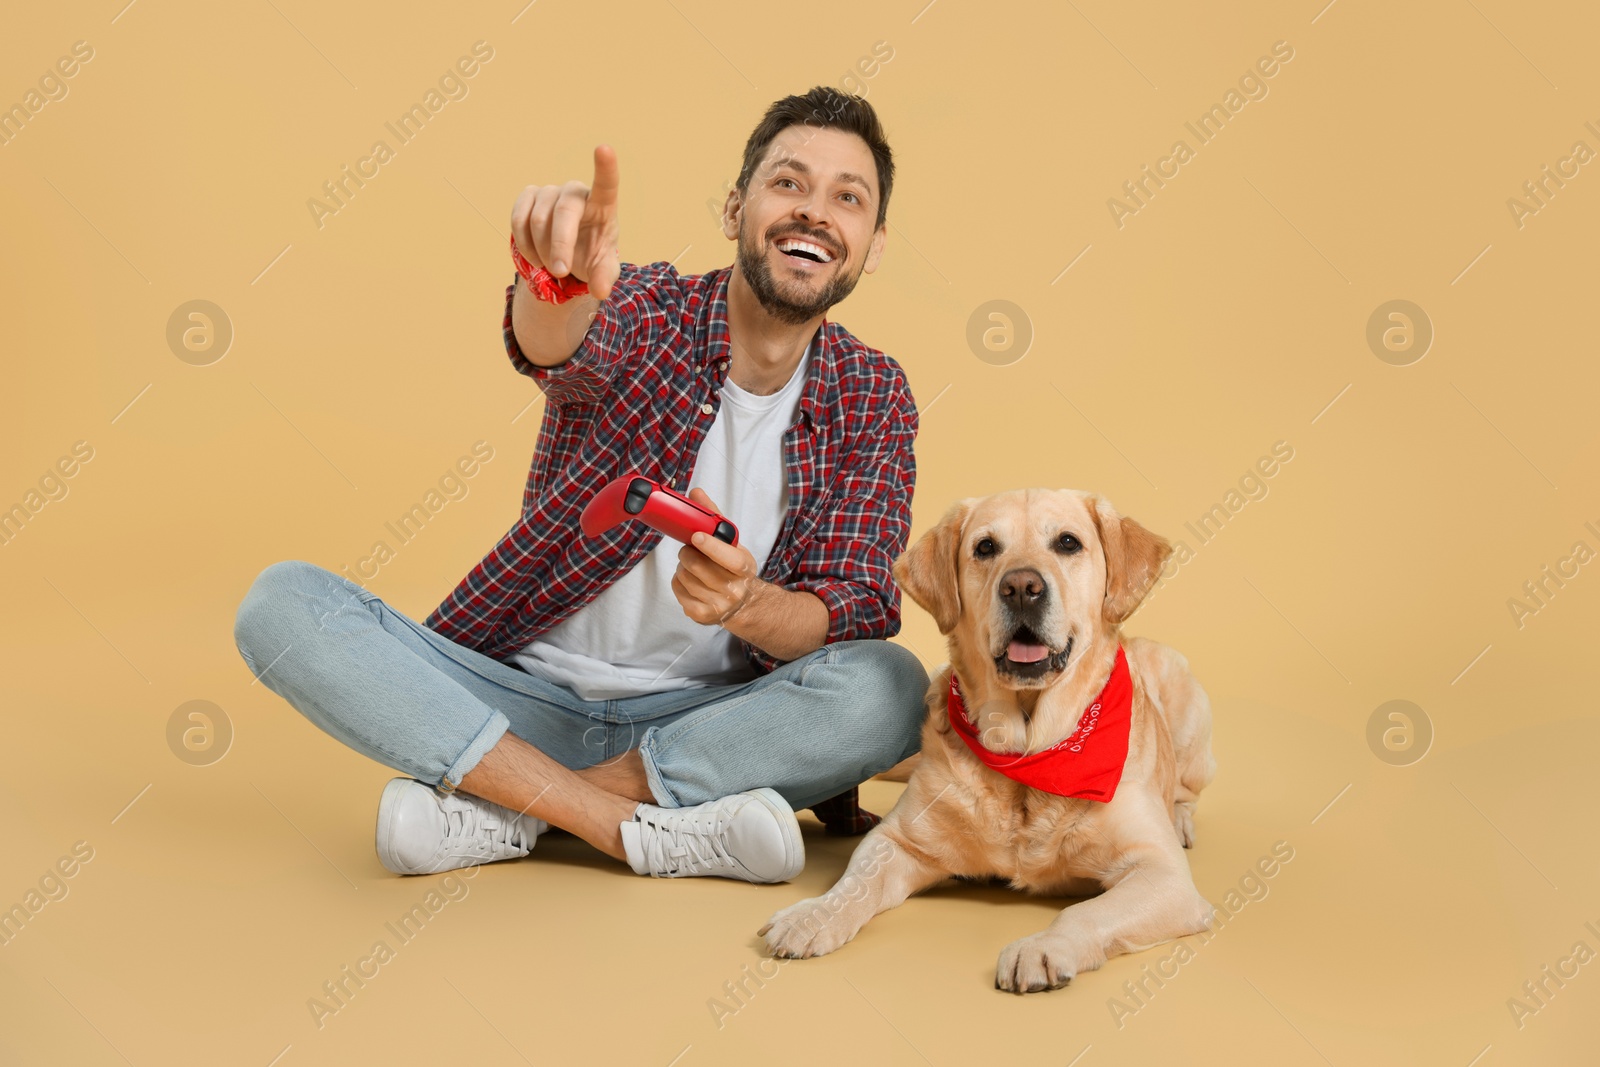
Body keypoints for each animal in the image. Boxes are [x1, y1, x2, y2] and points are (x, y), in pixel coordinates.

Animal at [755, 489, 1216, 991]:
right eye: (986, 548)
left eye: (1068, 542)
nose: (1021, 587)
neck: (1029, 755)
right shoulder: (897, 839)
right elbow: (855, 883)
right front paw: (812, 916)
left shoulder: (1163, 874)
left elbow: (1085, 912)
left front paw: (1042, 947)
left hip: (1186, 699)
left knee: (1187, 792)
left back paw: (1181, 820)